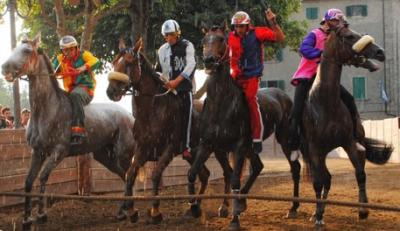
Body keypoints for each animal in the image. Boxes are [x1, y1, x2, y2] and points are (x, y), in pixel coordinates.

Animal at [0, 34, 136, 231]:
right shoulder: (37, 152)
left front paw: (41, 215)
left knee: (128, 176)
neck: (48, 108)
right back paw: (122, 211)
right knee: (124, 176)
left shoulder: (59, 151)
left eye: (26, 51)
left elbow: (43, 177)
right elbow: (28, 182)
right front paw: (26, 220)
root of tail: (130, 117)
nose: (5, 68)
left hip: (124, 154)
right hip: (104, 156)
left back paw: (129, 211)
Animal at [107, 38, 238, 224]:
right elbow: (130, 174)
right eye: (114, 62)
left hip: (218, 149)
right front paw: (131, 211)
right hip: (193, 153)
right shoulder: (143, 149)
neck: (153, 110)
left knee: (227, 172)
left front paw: (155, 211)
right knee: (204, 175)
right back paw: (195, 207)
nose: (111, 91)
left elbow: (155, 174)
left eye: (130, 62)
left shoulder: (169, 149)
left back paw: (224, 207)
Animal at [186, 26, 298, 230]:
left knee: (295, 168)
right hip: (249, 148)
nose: (209, 61)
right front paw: (196, 209)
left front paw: (234, 220)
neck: (221, 103)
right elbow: (193, 174)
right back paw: (242, 202)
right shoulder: (208, 145)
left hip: (285, 139)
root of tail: (284, 96)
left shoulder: (237, 147)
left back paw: (293, 208)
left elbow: (235, 179)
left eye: (221, 39)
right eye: (204, 41)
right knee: (257, 166)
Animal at [302, 23, 392, 226]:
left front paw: (363, 210)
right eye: (350, 36)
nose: (380, 52)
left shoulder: (348, 143)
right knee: (323, 179)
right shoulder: (314, 149)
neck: (326, 102)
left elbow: (360, 174)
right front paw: (318, 216)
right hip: (316, 154)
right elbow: (318, 182)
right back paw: (316, 212)